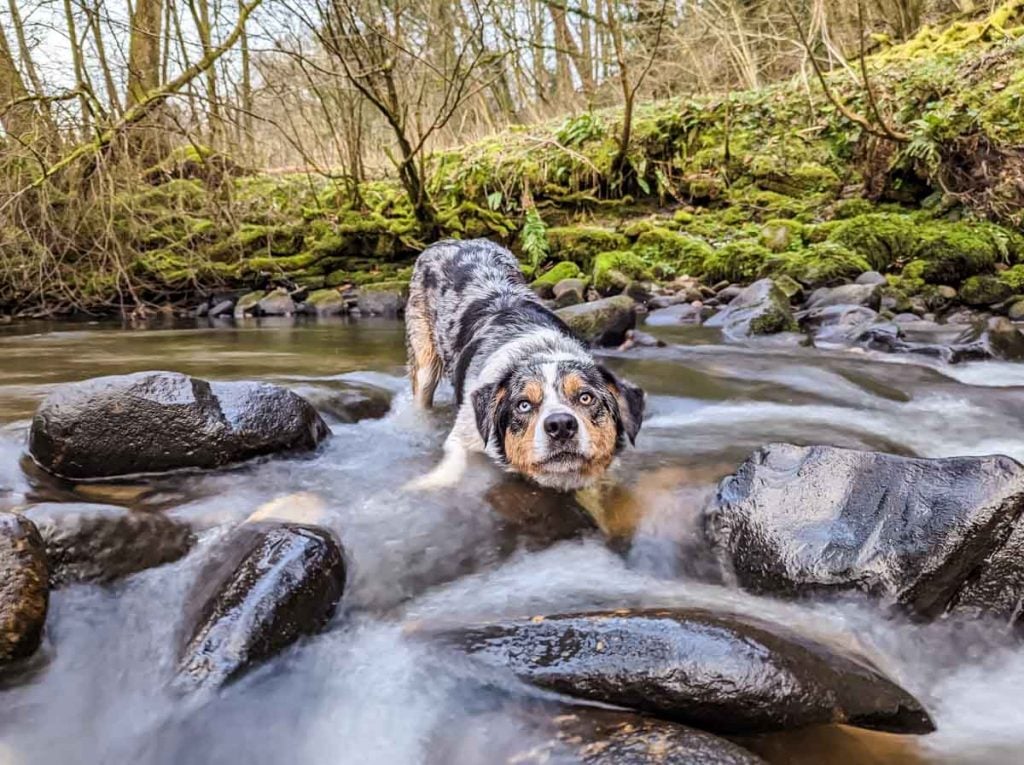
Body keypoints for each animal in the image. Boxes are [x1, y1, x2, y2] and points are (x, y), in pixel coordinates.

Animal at [403, 236, 643, 493]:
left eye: (586, 397)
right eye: (523, 405)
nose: (561, 425)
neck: (540, 351)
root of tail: (456, 241)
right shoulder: (465, 433)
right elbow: (453, 462)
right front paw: (426, 483)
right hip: (424, 358)